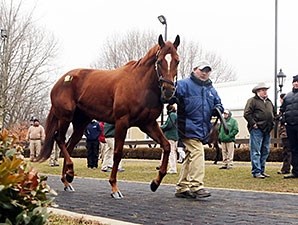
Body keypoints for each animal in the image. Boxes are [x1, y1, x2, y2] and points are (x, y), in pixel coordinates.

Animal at [38, 34, 180, 199]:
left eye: (177, 60)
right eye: (159, 61)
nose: (168, 90)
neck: (140, 83)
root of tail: (61, 80)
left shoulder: (148, 124)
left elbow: (167, 146)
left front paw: (155, 183)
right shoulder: (122, 122)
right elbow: (117, 153)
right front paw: (114, 187)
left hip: (81, 123)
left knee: (69, 145)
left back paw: (67, 179)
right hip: (65, 116)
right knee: (59, 138)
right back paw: (70, 173)